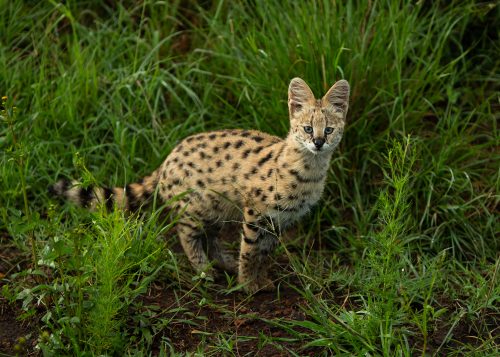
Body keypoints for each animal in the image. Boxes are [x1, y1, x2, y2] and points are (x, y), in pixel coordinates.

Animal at [52, 77, 350, 292]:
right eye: (308, 128)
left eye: (329, 130)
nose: (318, 142)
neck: (309, 172)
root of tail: (168, 158)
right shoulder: (256, 212)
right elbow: (250, 250)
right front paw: (247, 284)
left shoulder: (281, 219)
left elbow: (264, 252)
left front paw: (259, 279)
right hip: (196, 205)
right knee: (186, 233)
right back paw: (204, 270)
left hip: (218, 206)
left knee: (212, 236)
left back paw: (225, 262)